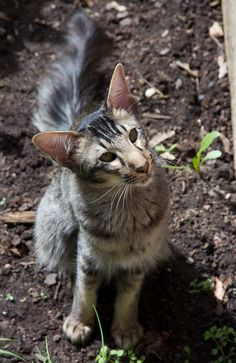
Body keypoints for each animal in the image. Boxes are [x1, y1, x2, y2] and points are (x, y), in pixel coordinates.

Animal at [32, 11, 171, 350]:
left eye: (133, 135)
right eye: (108, 157)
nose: (142, 165)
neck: (127, 213)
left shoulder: (139, 257)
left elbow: (129, 295)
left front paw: (125, 328)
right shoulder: (87, 253)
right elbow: (85, 290)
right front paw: (78, 323)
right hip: (56, 227)